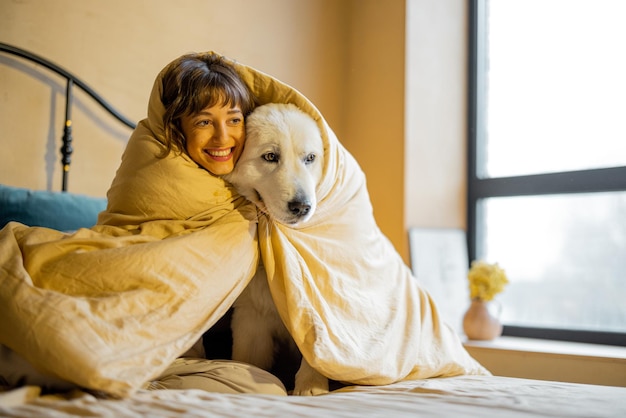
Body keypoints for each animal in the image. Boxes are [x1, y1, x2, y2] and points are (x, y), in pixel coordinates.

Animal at [225, 103, 332, 396]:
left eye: (310, 158)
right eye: (270, 156)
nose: (302, 206)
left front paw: (310, 386)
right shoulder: (252, 317)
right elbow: (248, 359)